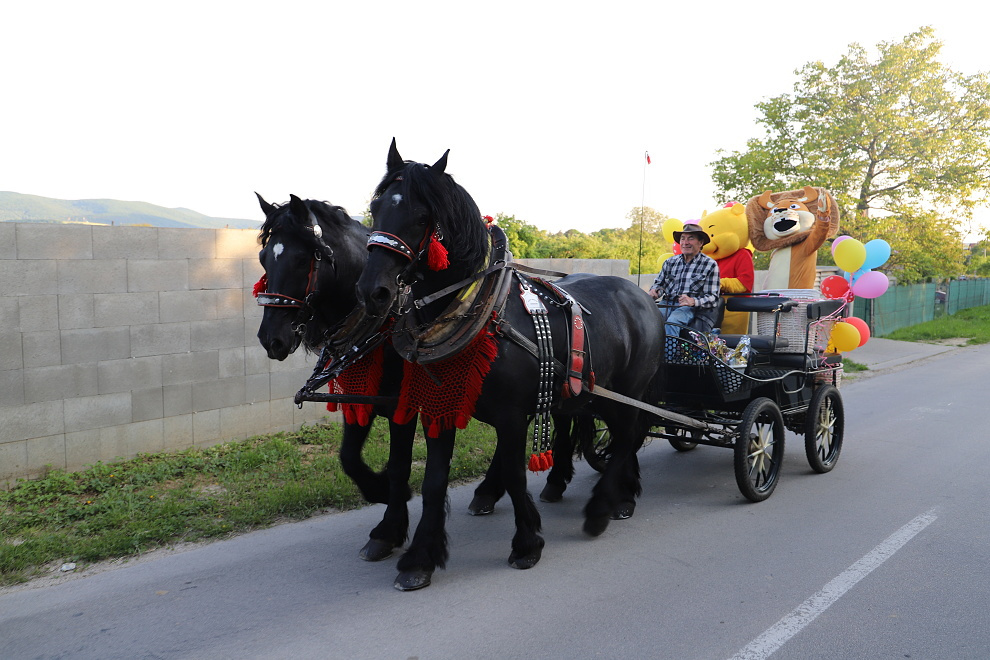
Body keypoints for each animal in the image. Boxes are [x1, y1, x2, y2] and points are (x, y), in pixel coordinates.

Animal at [354, 139, 665, 590]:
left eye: (422, 216)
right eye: (376, 207)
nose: (372, 291)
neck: (479, 311)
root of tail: (644, 296)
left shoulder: (513, 416)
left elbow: (517, 477)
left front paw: (527, 544)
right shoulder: (440, 410)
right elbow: (433, 481)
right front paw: (420, 558)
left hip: (627, 393)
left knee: (627, 438)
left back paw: (602, 508)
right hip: (593, 396)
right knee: (620, 435)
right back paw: (617, 495)